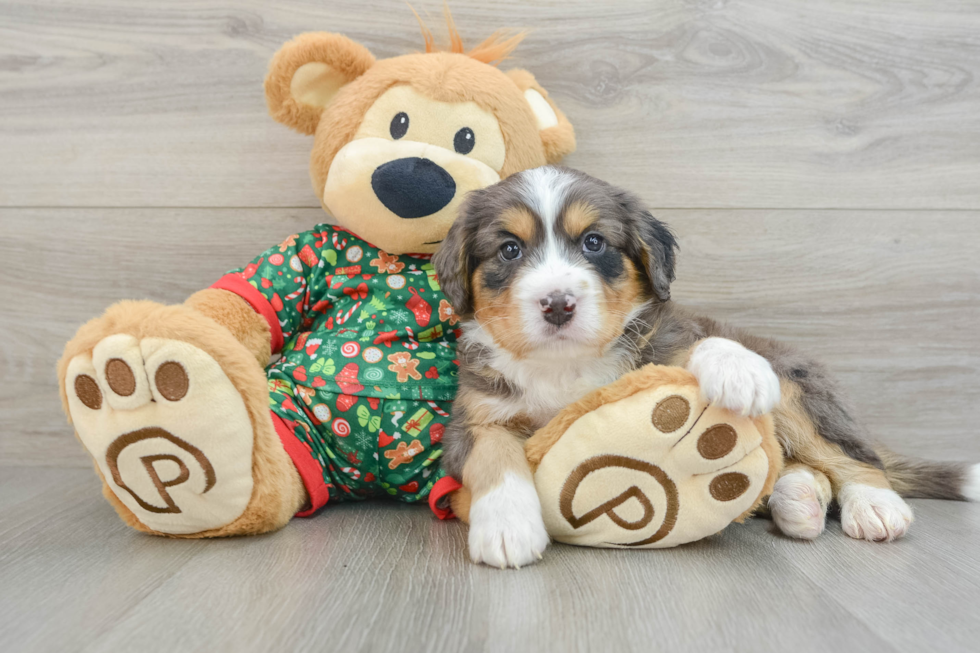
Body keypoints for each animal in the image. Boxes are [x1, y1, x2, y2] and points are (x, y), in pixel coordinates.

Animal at [436, 167, 980, 564]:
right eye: (510, 249)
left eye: (594, 242)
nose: (557, 305)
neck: (564, 364)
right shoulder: (474, 419)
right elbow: (496, 457)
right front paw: (508, 526)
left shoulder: (666, 338)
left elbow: (698, 340)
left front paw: (738, 370)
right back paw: (797, 500)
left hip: (799, 391)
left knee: (852, 456)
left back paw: (875, 506)